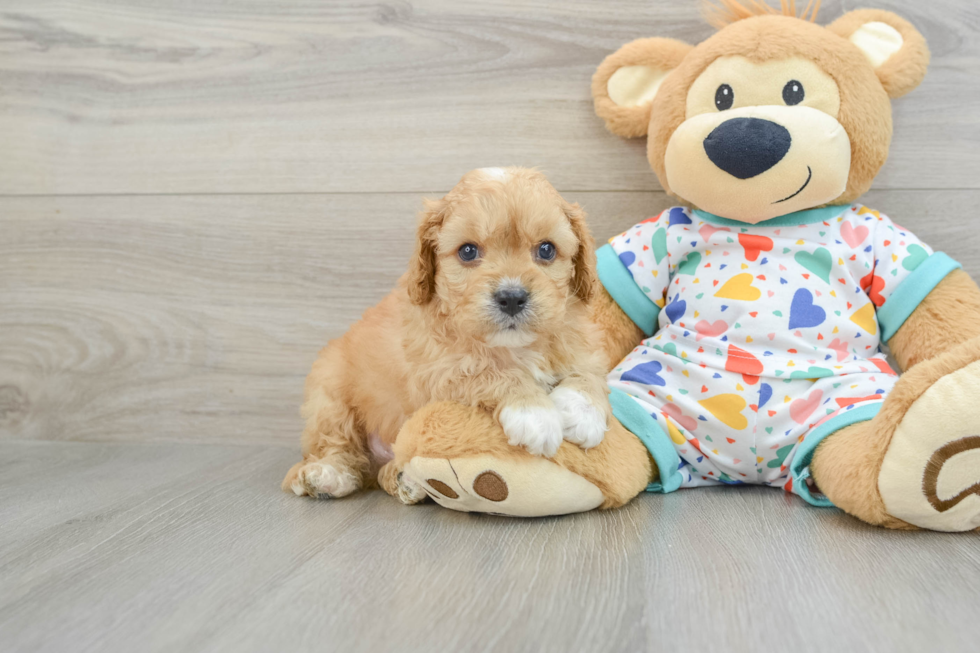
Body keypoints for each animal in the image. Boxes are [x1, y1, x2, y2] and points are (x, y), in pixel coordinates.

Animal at [280, 166, 608, 502]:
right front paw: (534, 413)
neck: (513, 346)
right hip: (329, 391)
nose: (512, 297)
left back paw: (403, 479)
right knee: (336, 446)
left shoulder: (580, 339)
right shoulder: (438, 372)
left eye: (546, 249)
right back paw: (327, 476)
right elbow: (491, 372)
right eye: (468, 251)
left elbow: (589, 371)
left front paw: (584, 412)